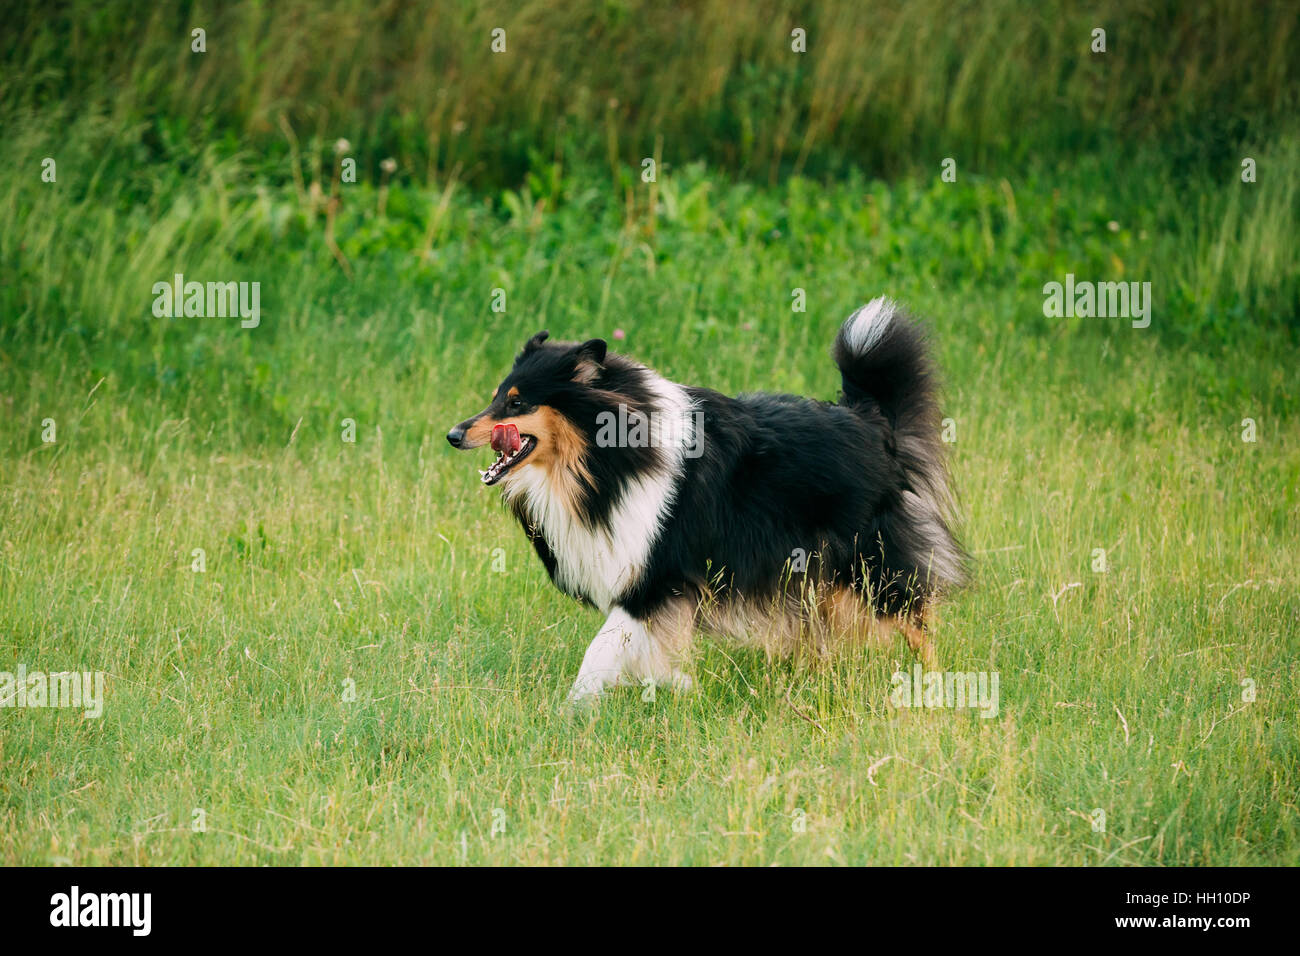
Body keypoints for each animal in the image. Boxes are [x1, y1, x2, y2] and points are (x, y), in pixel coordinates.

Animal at [447, 295, 967, 697]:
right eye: (496, 396)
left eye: (518, 402)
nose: (453, 435)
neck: (605, 457)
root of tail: (870, 420)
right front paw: (675, 687)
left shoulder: (656, 576)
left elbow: (600, 651)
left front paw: (574, 709)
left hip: (866, 563)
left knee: (918, 621)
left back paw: (936, 685)